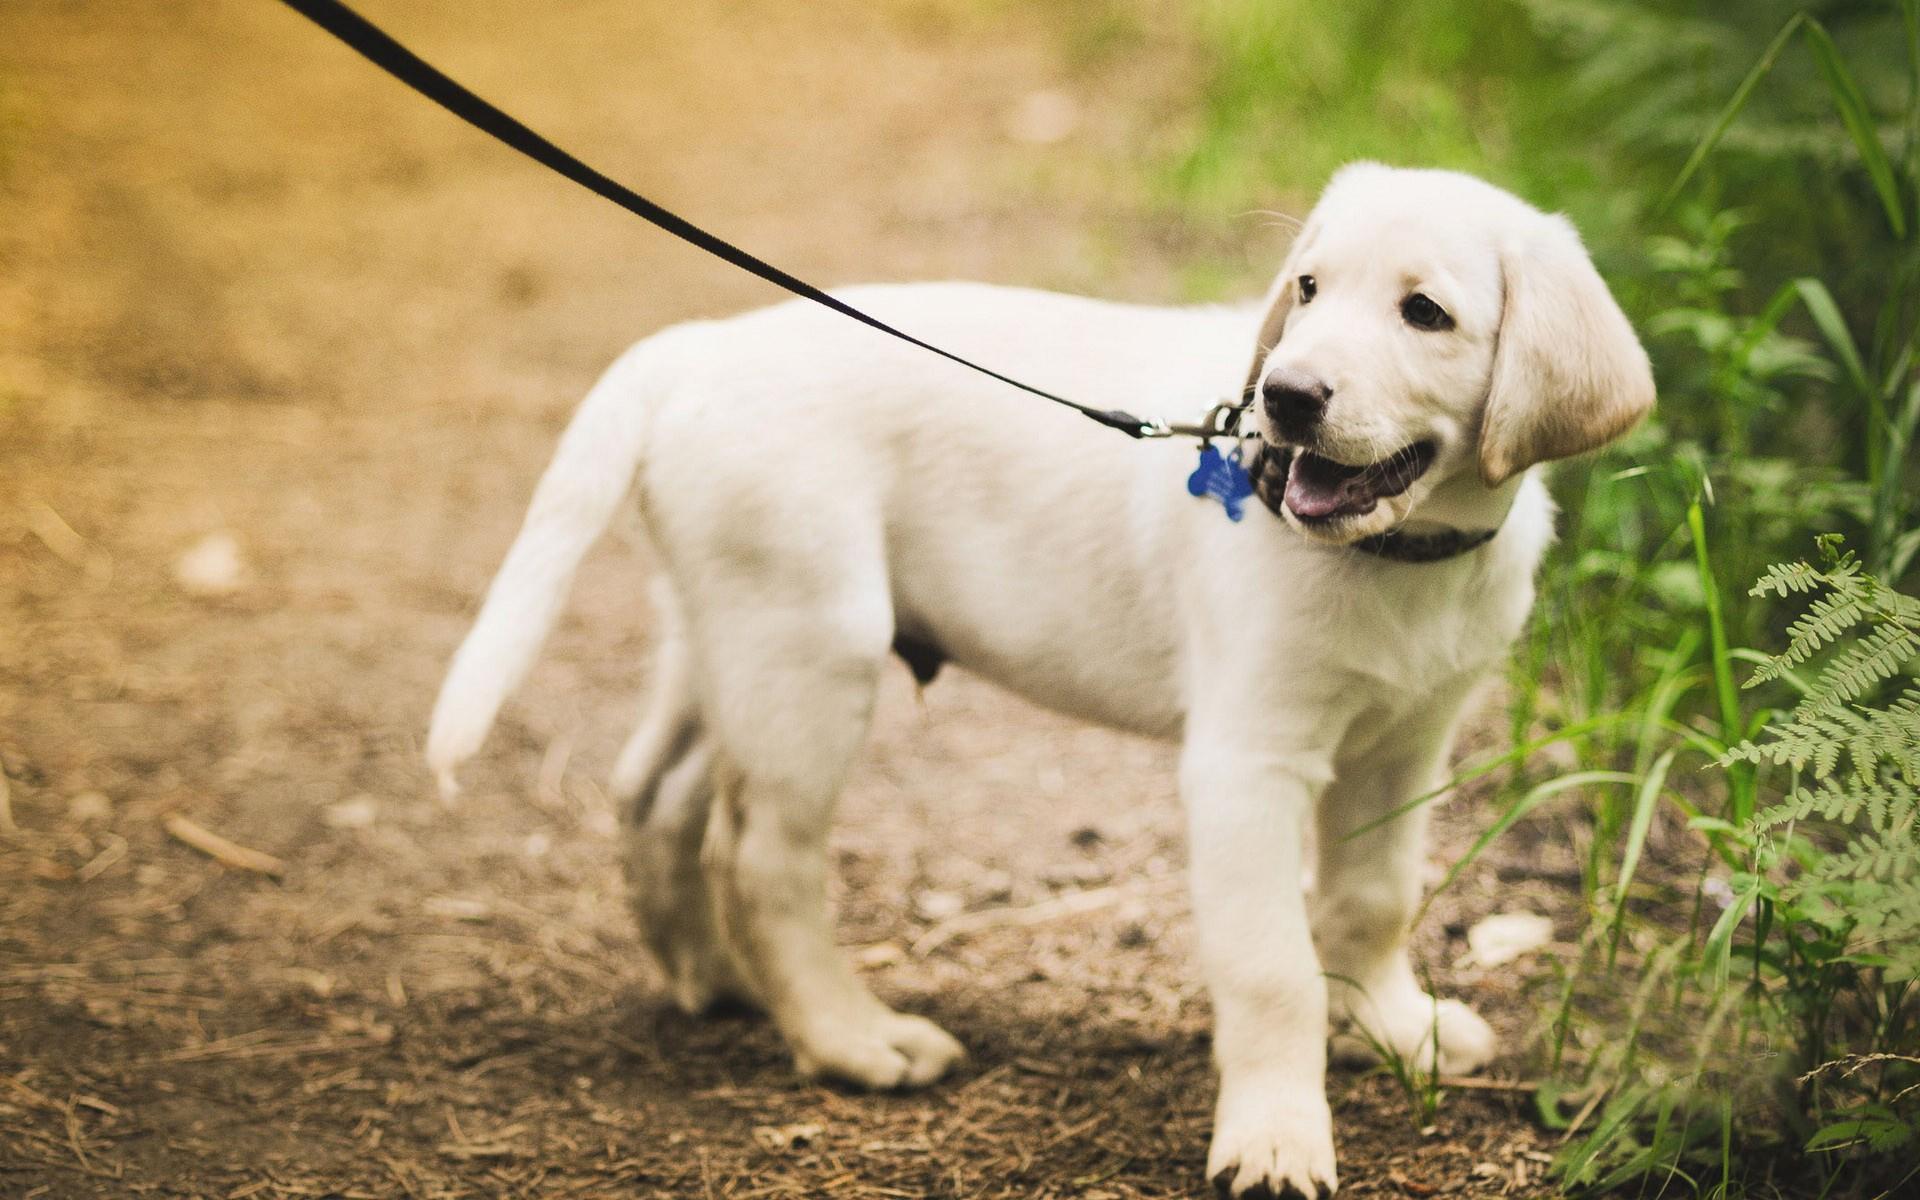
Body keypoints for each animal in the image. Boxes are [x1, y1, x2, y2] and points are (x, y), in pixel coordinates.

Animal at [432, 164, 1651, 1190]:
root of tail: (696, 349)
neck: (1399, 559)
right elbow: (1270, 965)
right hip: (809, 648)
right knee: (761, 854)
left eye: (1424, 314)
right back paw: (850, 1039)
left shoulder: (1407, 742)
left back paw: (715, 980)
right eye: (1308, 289)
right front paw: (1275, 1139)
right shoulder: (1247, 763)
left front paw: (1392, 1030)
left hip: (724, 630)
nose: (1286, 397)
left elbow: (1374, 899)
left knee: (656, 792)